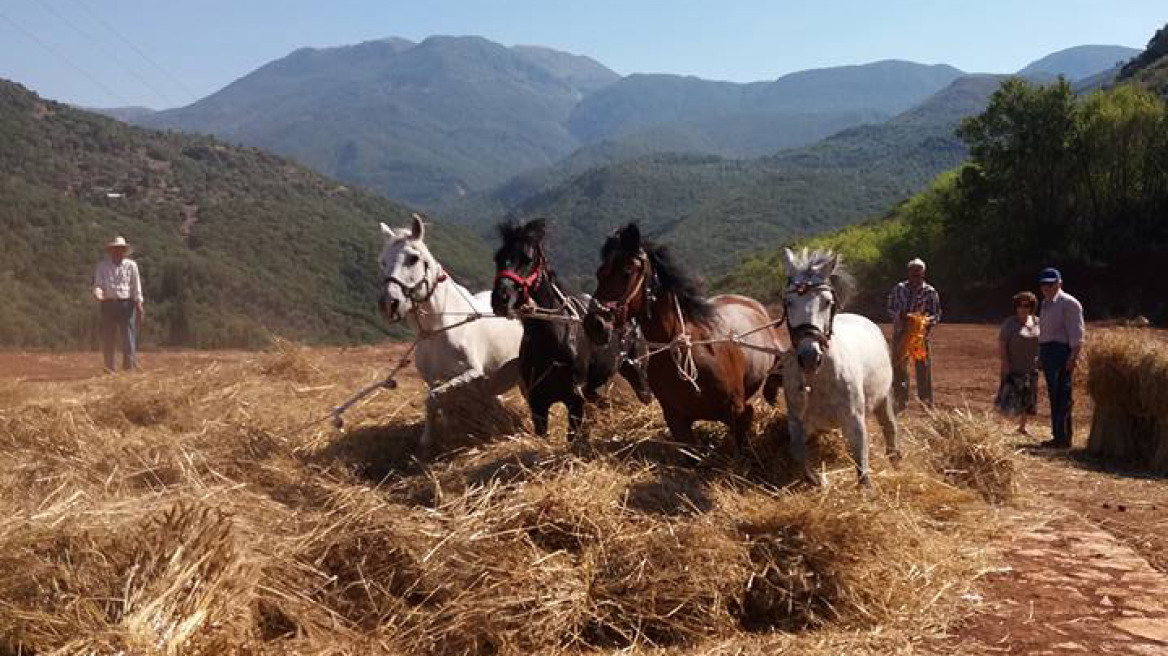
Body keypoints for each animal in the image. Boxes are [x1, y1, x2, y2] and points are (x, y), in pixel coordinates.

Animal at [376, 214, 523, 448]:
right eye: (382, 262)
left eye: (413, 258)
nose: (388, 304)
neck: (438, 330)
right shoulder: (431, 377)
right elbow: (434, 402)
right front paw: (428, 438)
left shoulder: (471, 373)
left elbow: (434, 398)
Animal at [492, 215, 658, 438]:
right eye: (498, 258)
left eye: (527, 259)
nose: (500, 299)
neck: (552, 340)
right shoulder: (538, 405)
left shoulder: (574, 401)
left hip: (636, 369)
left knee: (645, 394)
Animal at [780, 247, 897, 483]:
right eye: (789, 302)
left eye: (826, 301)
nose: (809, 356)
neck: (819, 378)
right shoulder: (797, 421)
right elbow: (798, 453)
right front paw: (818, 480)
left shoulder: (855, 421)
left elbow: (862, 468)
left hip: (884, 397)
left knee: (889, 426)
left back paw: (895, 460)